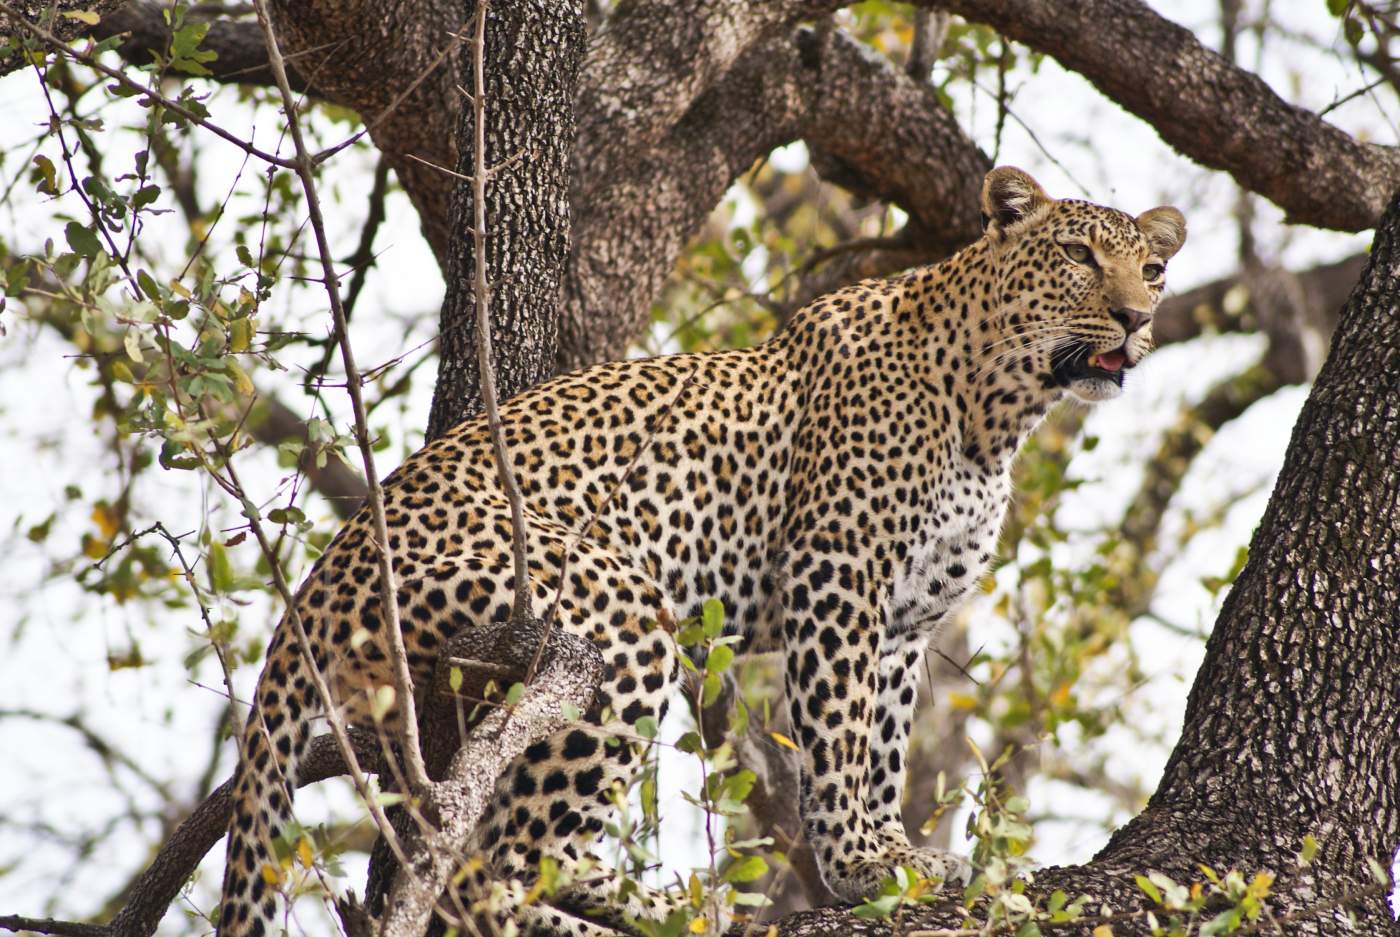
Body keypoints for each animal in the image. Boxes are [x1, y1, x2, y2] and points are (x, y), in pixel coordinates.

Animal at [215, 168, 1181, 935]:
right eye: (1078, 255)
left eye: (1153, 270)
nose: (1136, 319)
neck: (997, 409)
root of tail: (326, 570)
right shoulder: (839, 572)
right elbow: (840, 733)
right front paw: (858, 864)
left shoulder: (907, 618)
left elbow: (885, 745)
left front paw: (897, 852)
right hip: (615, 615)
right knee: (491, 869)